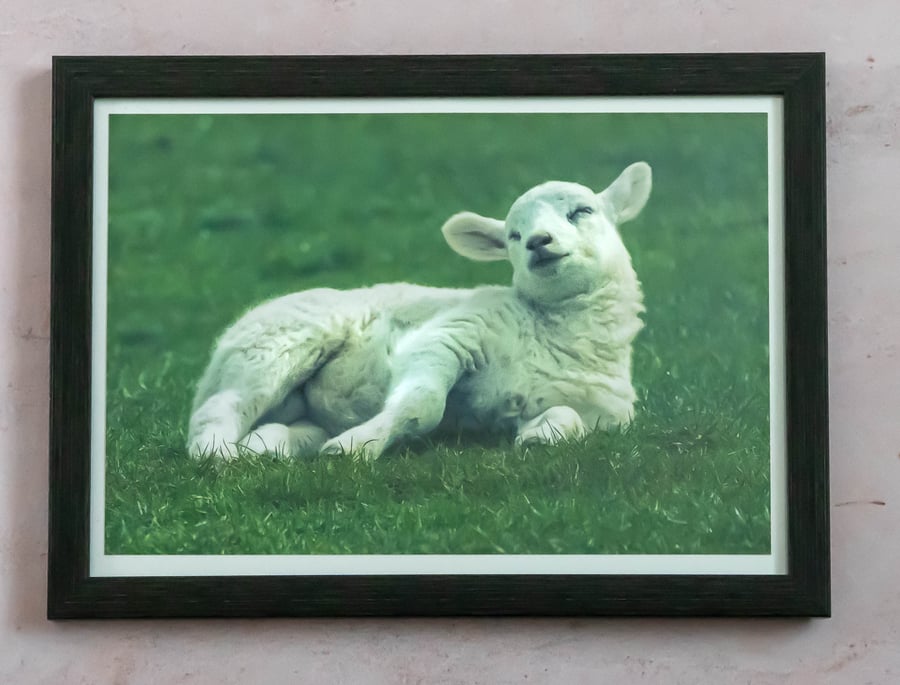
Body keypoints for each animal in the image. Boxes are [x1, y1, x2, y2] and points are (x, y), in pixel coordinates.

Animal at [187, 161, 651, 462]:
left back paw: (263, 448)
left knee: (279, 429)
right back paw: (218, 455)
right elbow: (421, 404)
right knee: (221, 408)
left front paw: (540, 438)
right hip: (272, 348)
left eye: (582, 211)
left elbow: (567, 419)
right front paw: (354, 448)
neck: (557, 332)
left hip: (300, 406)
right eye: (513, 236)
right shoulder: (454, 333)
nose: (538, 242)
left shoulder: (603, 417)